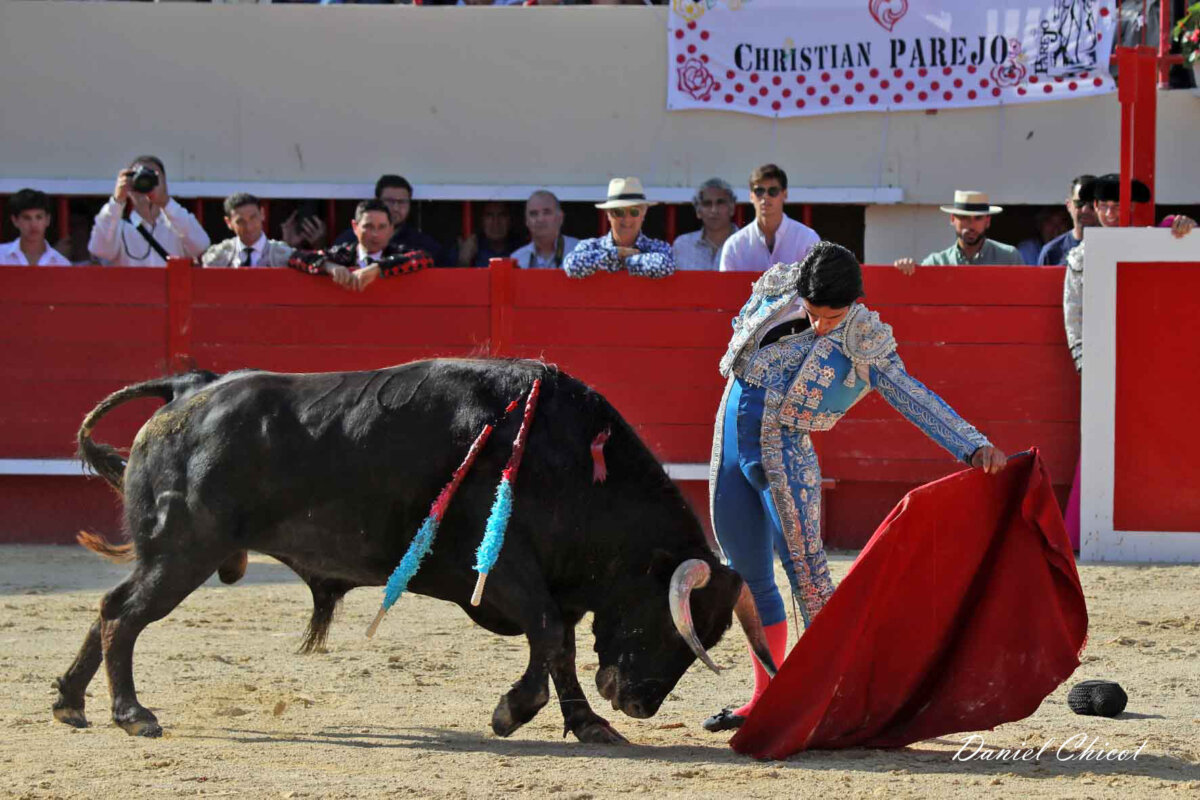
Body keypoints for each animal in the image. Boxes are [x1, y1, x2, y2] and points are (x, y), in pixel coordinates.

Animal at [53, 358, 776, 743]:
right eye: (672, 624)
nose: (640, 704)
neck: (570, 462)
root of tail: (188, 387)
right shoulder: (504, 568)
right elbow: (551, 638)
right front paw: (542, 717)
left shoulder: (535, 581)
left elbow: (554, 644)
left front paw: (556, 718)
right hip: (183, 553)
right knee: (123, 615)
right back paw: (132, 715)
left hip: (173, 556)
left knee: (109, 608)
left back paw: (71, 704)